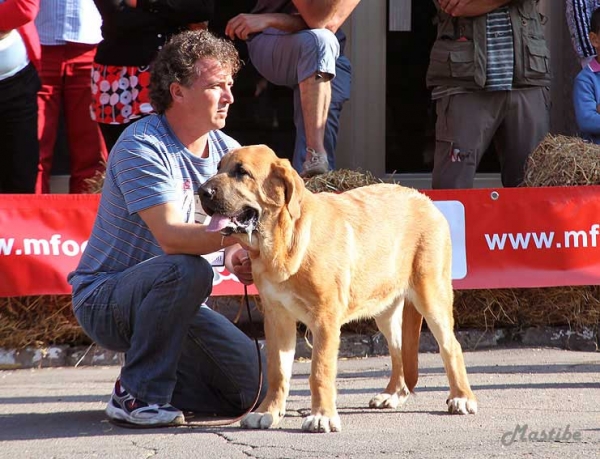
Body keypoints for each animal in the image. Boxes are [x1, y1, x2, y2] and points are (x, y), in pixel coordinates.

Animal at [199, 145, 476, 434]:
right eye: (218, 167)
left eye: (242, 172)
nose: (202, 191)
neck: (284, 240)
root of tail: (425, 199)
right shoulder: (277, 318)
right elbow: (277, 371)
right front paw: (268, 412)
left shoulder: (325, 319)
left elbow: (319, 370)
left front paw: (321, 416)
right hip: (385, 308)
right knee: (398, 350)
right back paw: (392, 394)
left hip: (431, 295)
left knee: (451, 346)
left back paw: (461, 397)